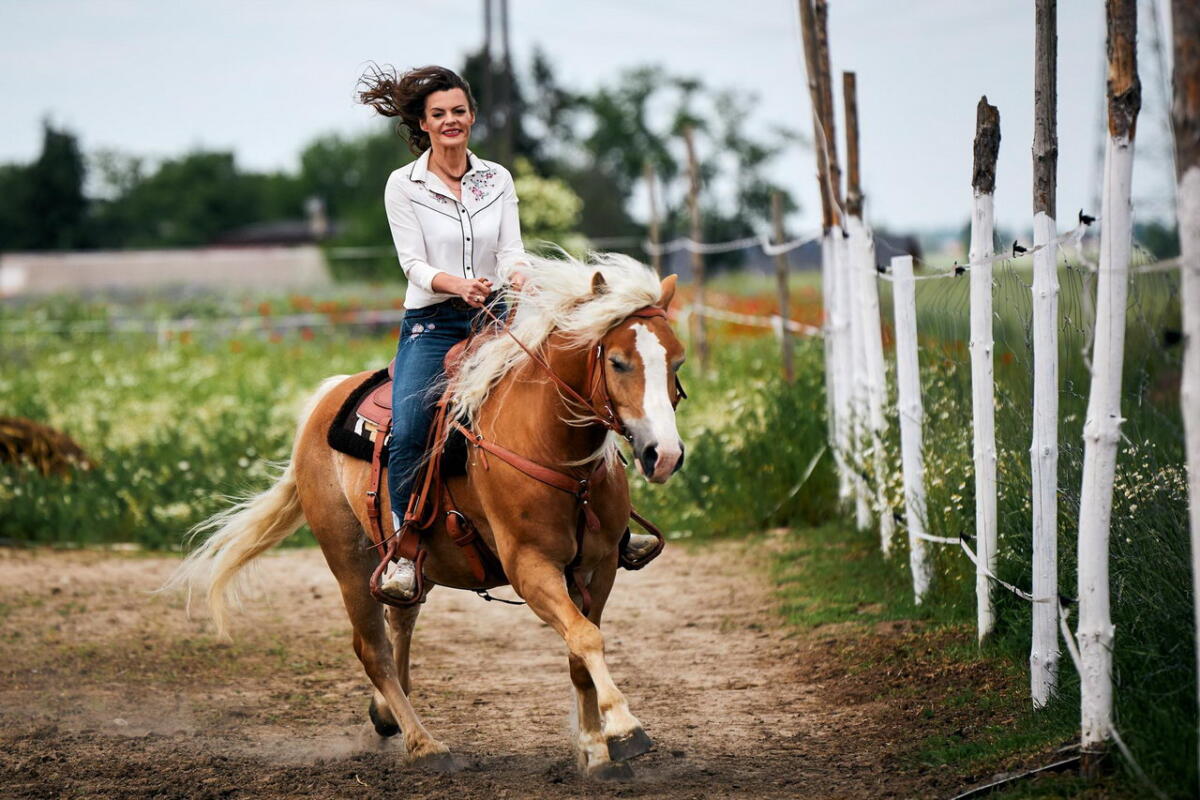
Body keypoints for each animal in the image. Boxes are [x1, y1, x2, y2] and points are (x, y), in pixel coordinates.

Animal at [167, 253, 686, 779]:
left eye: (677, 361)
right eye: (618, 361)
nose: (663, 455)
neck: (549, 444)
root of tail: (325, 400)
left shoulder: (598, 568)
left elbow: (581, 651)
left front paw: (597, 751)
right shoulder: (531, 568)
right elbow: (585, 637)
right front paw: (624, 728)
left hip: (419, 560)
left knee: (401, 617)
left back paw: (385, 715)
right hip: (347, 559)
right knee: (372, 649)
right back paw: (424, 743)